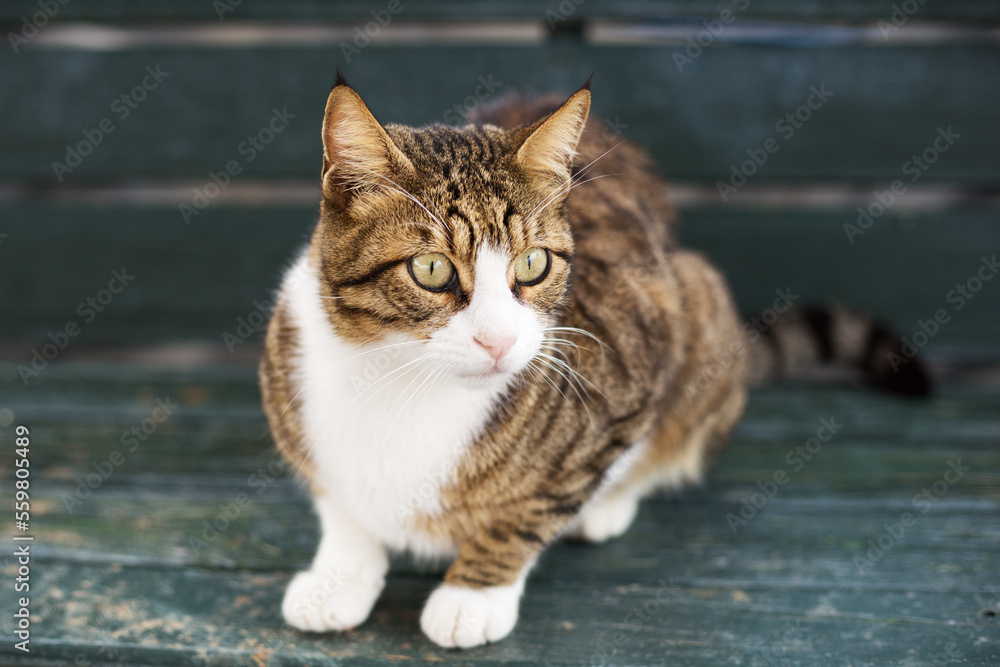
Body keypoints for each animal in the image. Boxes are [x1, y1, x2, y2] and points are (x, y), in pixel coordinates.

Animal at [260, 73, 928, 648]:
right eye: (430, 270)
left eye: (533, 264)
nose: (499, 341)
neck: (400, 379)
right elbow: (340, 507)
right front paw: (340, 574)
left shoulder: (635, 358)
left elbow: (538, 505)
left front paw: (475, 594)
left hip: (701, 302)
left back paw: (606, 505)